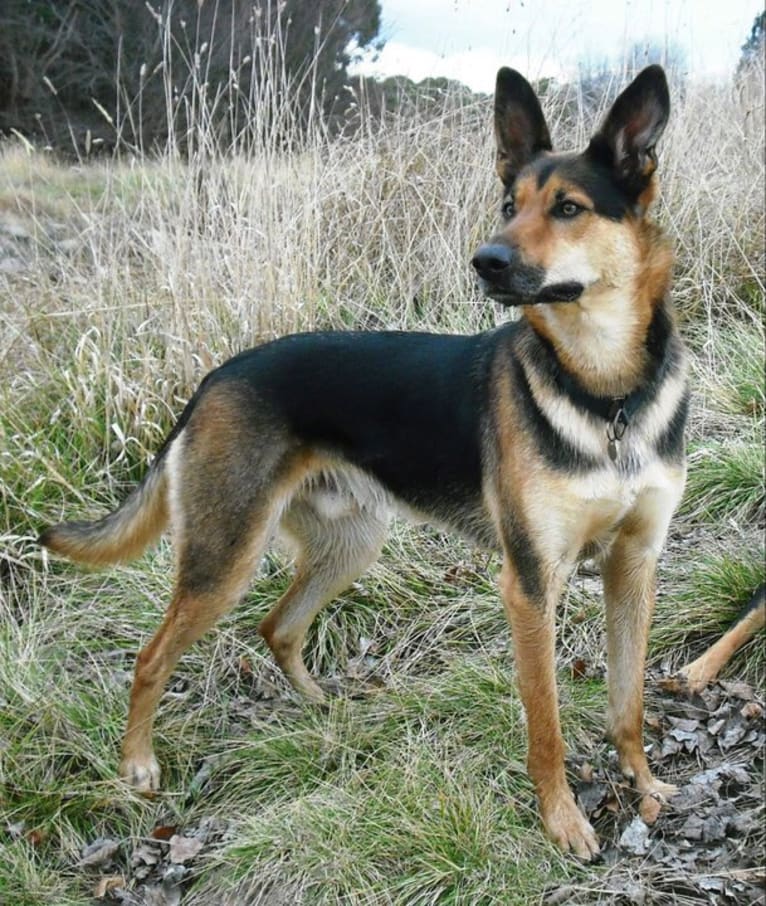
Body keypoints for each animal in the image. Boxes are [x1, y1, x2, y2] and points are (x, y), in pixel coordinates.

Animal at [37, 63, 688, 856]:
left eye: (568, 208)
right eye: (509, 205)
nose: (487, 260)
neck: (605, 394)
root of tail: (214, 379)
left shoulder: (635, 564)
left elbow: (628, 701)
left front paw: (645, 787)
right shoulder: (532, 585)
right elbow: (547, 727)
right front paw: (562, 820)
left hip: (350, 542)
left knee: (277, 628)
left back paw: (323, 707)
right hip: (227, 556)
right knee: (152, 657)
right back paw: (137, 766)